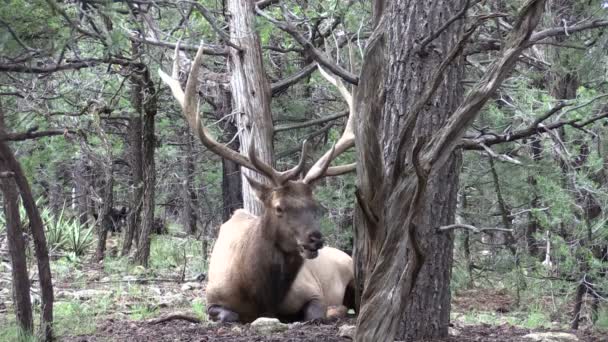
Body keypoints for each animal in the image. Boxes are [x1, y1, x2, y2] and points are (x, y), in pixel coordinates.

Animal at [159, 42, 356, 324]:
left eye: (315, 206)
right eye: (279, 207)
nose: (315, 239)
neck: (262, 296)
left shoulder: (312, 291)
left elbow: (315, 313)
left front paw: (330, 311)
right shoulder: (213, 301)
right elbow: (228, 316)